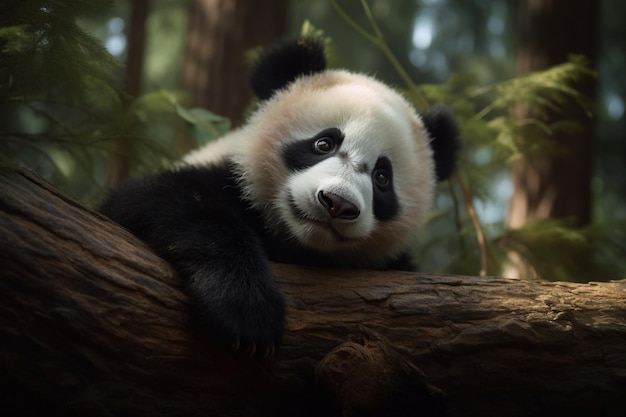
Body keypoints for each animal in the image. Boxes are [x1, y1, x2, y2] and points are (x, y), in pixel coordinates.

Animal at [98, 36, 458, 354]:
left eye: (382, 177)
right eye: (324, 143)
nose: (337, 203)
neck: (297, 244)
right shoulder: (222, 177)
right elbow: (161, 201)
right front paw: (245, 312)